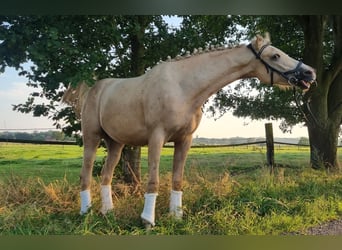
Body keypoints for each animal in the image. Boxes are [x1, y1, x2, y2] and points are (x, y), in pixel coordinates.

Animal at [62, 33, 316, 227]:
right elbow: (153, 180)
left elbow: (177, 180)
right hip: (92, 138)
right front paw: (147, 220)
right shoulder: (157, 138)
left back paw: (108, 213)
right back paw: (86, 212)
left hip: (115, 143)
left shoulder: (185, 140)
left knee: (106, 176)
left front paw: (176, 216)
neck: (183, 86)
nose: (309, 73)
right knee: (86, 174)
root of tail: (93, 89)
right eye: (275, 55)